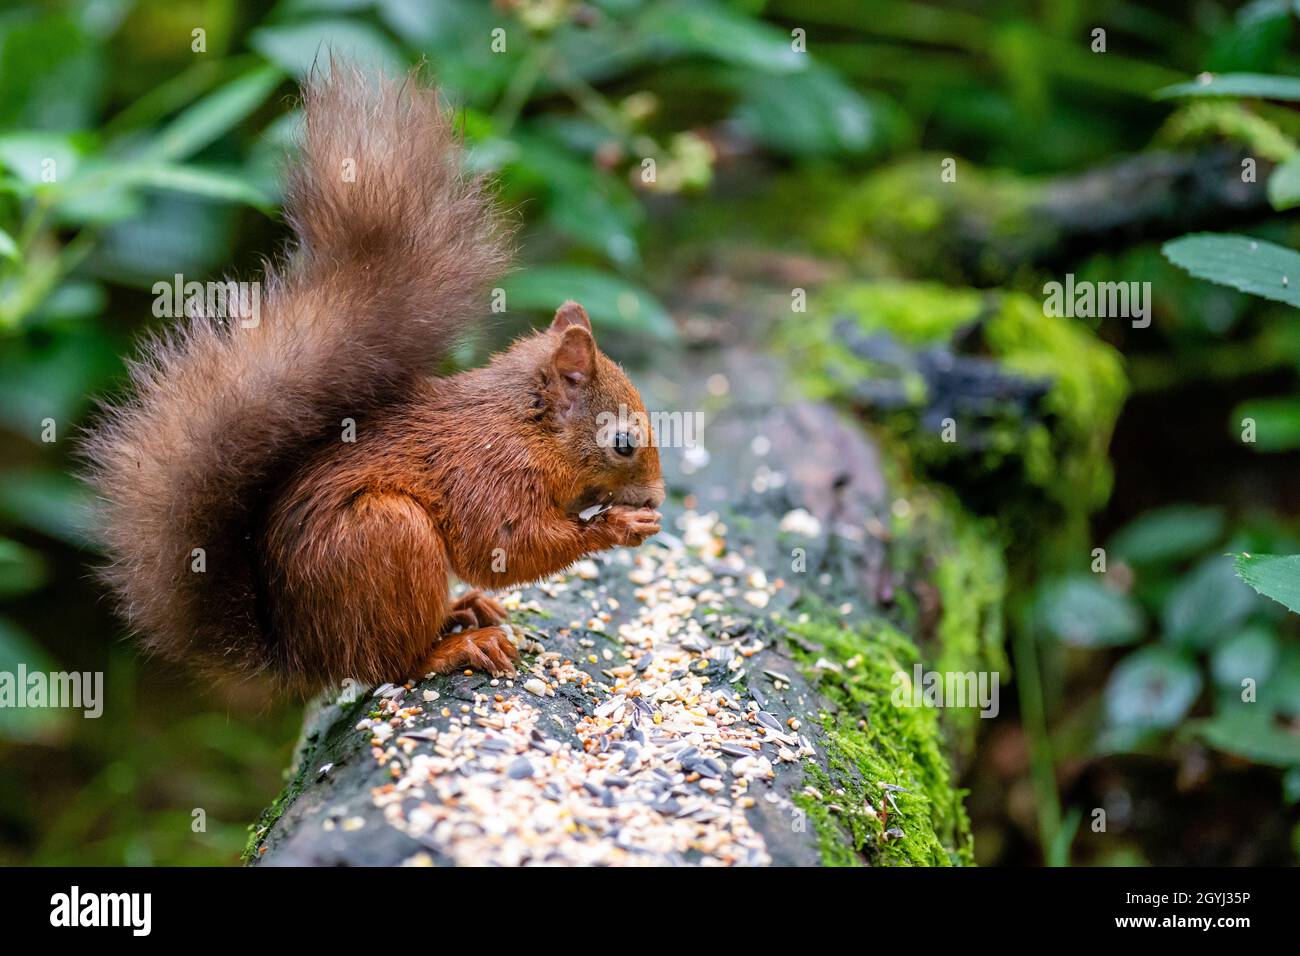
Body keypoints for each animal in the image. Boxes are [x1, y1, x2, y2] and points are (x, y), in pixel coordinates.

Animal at [82, 65, 665, 694]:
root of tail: (302, 653)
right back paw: (456, 646)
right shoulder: (489, 474)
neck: (526, 427)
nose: (659, 498)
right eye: (623, 442)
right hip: (387, 535)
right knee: (389, 664)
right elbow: (504, 546)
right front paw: (621, 524)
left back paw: (463, 611)